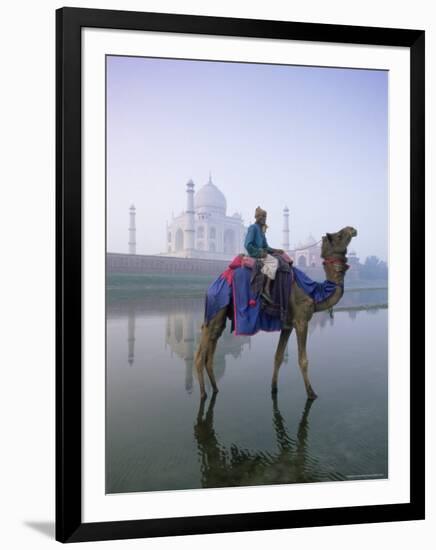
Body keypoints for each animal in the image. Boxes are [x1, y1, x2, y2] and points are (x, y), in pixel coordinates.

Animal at [195, 224, 358, 402]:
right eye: (339, 235)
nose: (352, 229)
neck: (313, 292)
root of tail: (214, 283)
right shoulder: (301, 320)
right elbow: (303, 360)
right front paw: (311, 393)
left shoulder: (287, 324)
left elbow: (278, 357)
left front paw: (274, 389)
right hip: (217, 304)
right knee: (201, 354)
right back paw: (203, 394)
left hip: (220, 311)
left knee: (212, 343)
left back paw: (215, 389)